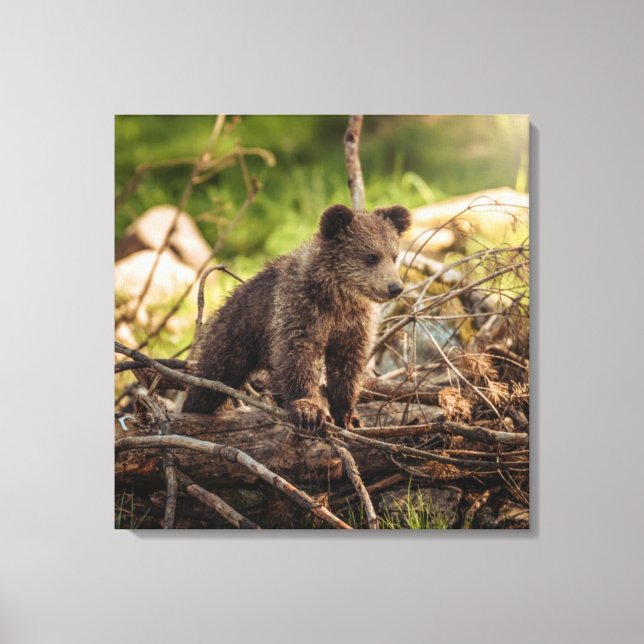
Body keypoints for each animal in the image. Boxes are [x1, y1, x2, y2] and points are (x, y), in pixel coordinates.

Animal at [182, 203, 412, 431]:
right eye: (371, 257)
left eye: (394, 256)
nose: (395, 287)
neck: (337, 297)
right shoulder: (300, 309)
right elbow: (299, 355)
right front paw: (310, 411)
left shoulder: (354, 324)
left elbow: (347, 365)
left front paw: (348, 416)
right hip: (236, 333)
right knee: (213, 376)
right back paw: (193, 407)